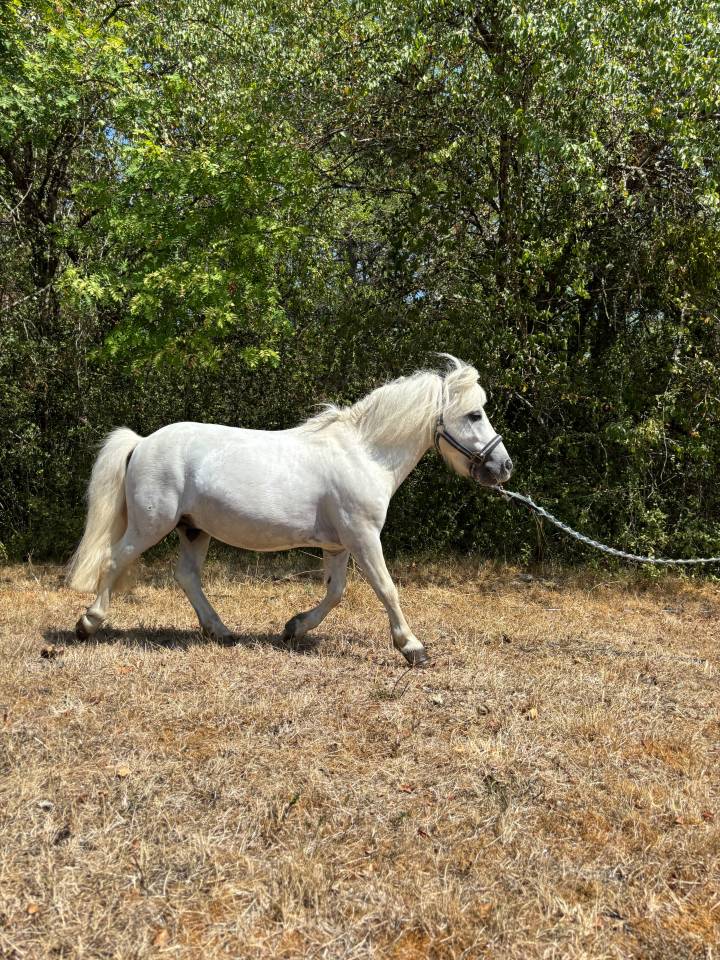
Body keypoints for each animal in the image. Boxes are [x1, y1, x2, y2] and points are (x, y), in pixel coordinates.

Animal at [66, 356, 513, 665]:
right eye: (474, 414)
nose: (503, 467)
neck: (363, 455)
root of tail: (141, 442)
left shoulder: (339, 545)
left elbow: (335, 592)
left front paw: (294, 628)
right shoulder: (363, 536)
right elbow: (386, 588)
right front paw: (413, 648)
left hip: (194, 529)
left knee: (187, 577)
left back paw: (221, 631)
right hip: (151, 524)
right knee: (114, 560)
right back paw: (88, 623)